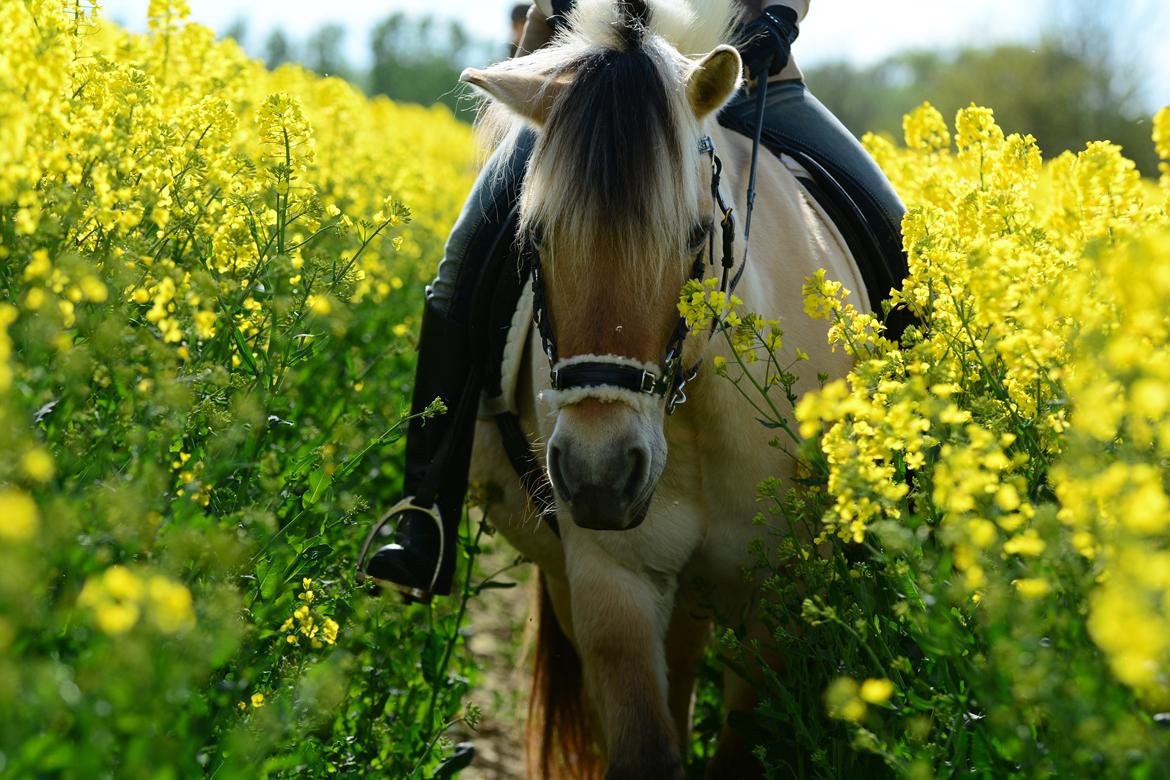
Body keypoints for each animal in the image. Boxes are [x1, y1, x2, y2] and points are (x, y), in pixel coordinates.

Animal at [456, 3, 870, 776]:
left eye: (695, 237)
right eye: (536, 238)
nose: (597, 476)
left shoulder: (778, 596)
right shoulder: (611, 582)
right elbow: (645, 743)